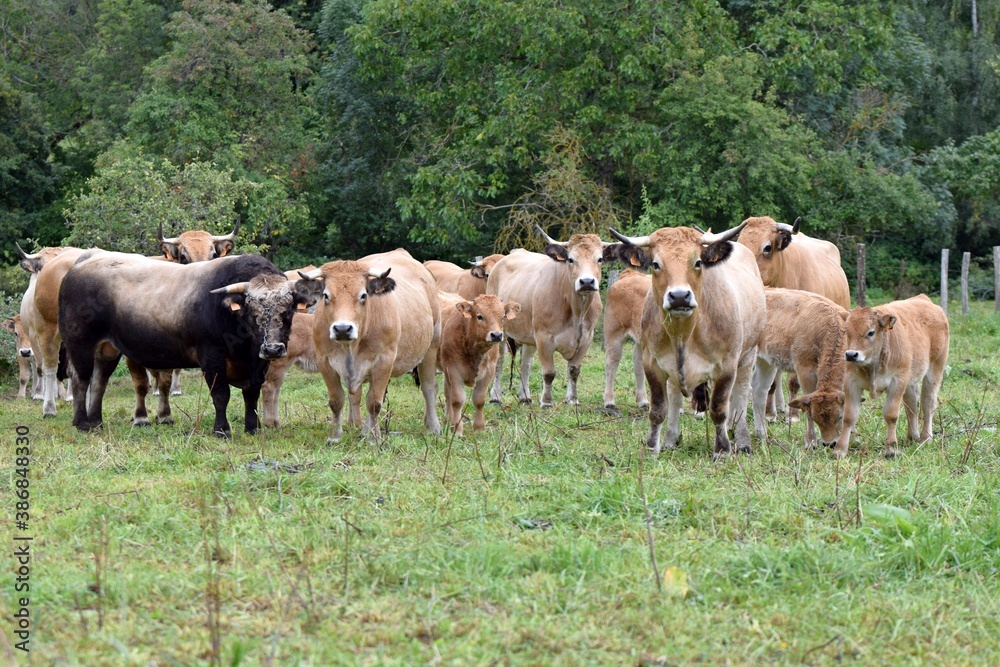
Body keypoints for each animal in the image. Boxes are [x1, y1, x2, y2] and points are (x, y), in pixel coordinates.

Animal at [440, 294, 524, 438]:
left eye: (503, 316)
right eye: (479, 316)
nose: (496, 335)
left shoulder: (489, 372)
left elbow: (479, 400)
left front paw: (479, 428)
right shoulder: (453, 371)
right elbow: (457, 400)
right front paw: (457, 429)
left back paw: (447, 420)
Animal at [600, 268, 648, 410]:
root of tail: (630, 273)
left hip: (641, 340)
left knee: (638, 362)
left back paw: (642, 400)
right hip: (614, 333)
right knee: (611, 364)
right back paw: (609, 401)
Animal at [752, 288, 848, 448]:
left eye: (839, 417)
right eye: (816, 417)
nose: (829, 443)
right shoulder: (805, 369)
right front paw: (810, 442)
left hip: (765, 362)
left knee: (759, 391)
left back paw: (762, 434)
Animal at [832, 296, 948, 460]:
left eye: (871, 332)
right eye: (847, 331)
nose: (851, 355)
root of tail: (923, 299)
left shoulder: (897, 382)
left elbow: (891, 415)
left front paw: (891, 448)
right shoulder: (851, 383)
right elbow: (849, 416)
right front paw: (840, 449)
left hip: (935, 370)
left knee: (928, 402)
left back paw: (926, 438)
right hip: (910, 380)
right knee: (912, 403)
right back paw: (912, 436)